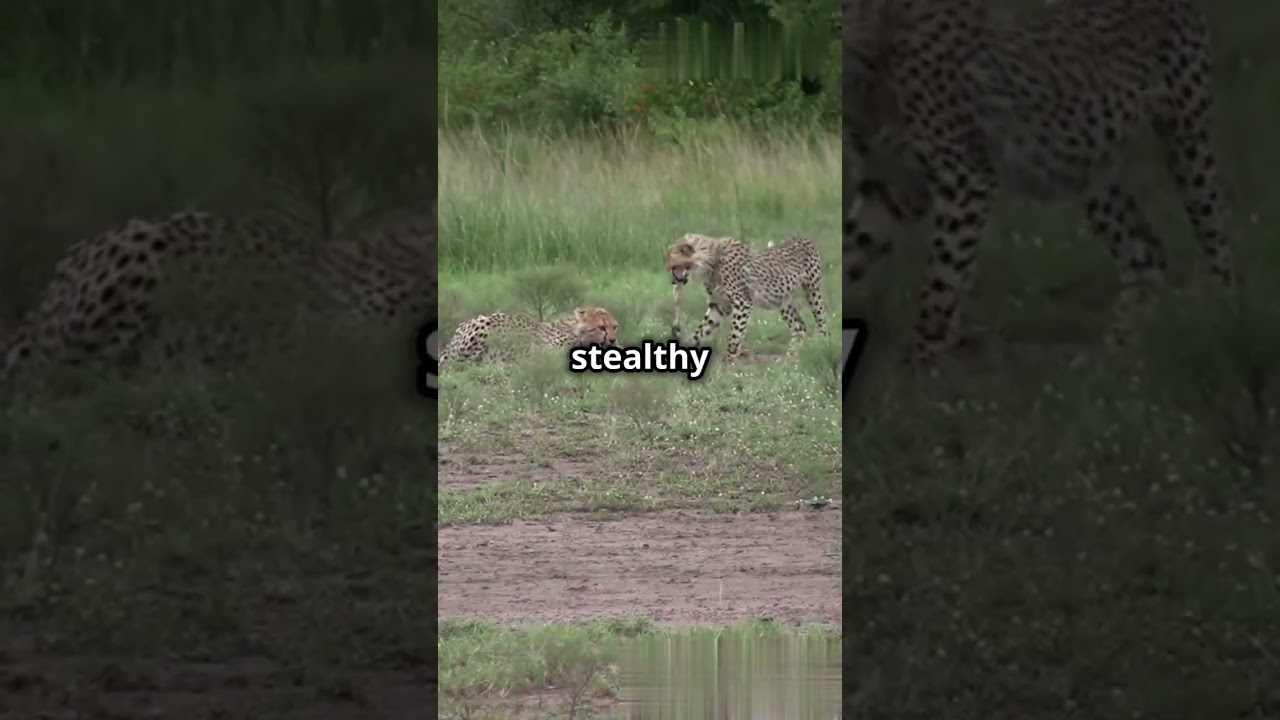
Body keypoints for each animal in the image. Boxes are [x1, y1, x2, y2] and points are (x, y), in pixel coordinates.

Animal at [667, 233, 829, 362]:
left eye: (671, 262)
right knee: (799, 326)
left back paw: (823, 346)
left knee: (822, 322)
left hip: (813, 291)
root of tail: (803, 238)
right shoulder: (720, 305)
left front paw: (728, 362)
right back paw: (791, 358)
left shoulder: (742, 303)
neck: (710, 261)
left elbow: (734, 336)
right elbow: (703, 329)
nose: (671, 280)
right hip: (782, 300)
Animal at [842, 0, 1235, 370]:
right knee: (1145, 252)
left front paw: (916, 376)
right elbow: (852, 251)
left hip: (1187, 138)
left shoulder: (965, 180)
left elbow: (939, 289)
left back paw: (1219, 322)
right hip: (1091, 166)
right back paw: (1115, 362)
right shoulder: (895, 184)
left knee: (1217, 242)